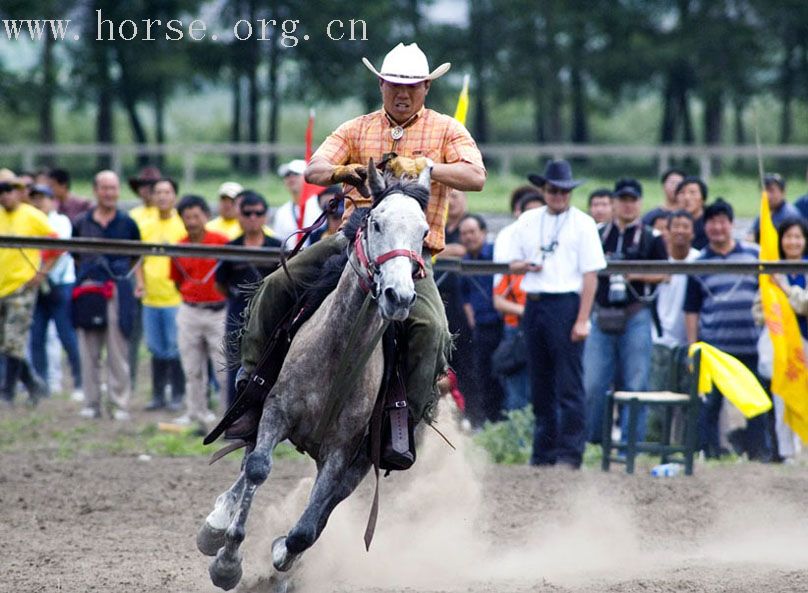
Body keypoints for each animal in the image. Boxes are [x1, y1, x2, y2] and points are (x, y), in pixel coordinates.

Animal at [195, 161, 432, 588]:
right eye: (375, 223)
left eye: (423, 233)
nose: (400, 296)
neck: (338, 353)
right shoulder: (275, 411)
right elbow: (258, 467)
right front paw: (227, 562)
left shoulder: (342, 451)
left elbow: (307, 527)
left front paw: (282, 556)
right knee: (248, 460)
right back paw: (216, 524)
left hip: (362, 461)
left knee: (324, 507)